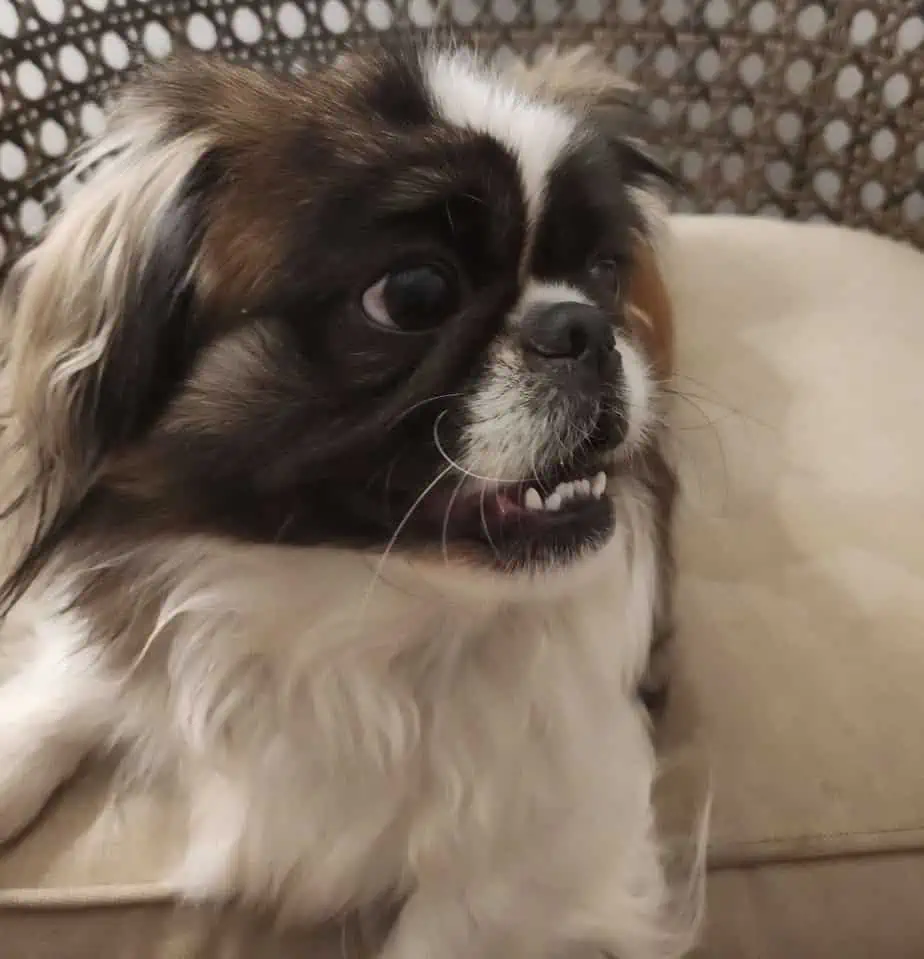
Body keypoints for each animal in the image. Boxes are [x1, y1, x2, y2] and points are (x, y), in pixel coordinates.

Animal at [0, 43, 696, 959]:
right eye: (413, 295)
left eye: (604, 273)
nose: (582, 326)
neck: (355, 605)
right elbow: (61, 690)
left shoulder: (556, 844)